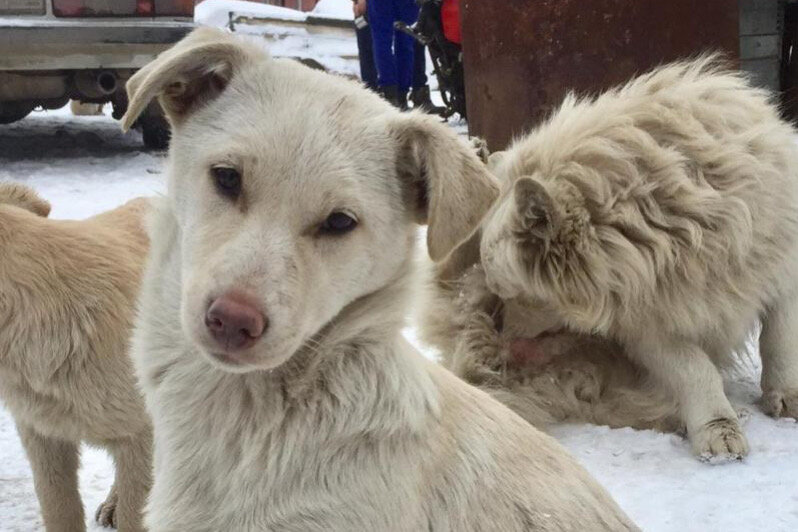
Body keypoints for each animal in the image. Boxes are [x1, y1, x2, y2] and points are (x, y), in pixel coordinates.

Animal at [432, 55, 798, 462]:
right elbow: (695, 369)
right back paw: (474, 154)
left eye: (513, 294)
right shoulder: (645, 328)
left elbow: (779, 340)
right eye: (499, 290)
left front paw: (785, 395)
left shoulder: (779, 268)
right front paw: (718, 428)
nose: (501, 339)